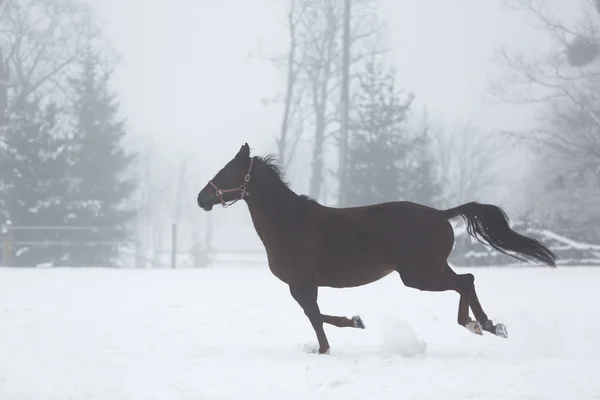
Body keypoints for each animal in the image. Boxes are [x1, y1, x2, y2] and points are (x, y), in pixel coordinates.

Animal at [197, 143, 556, 354]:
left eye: (227, 171)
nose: (201, 198)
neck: (289, 223)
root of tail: (441, 214)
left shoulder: (300, 284)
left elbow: (315, 316)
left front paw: (329, 345)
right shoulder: (304, 286)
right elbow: (318, 315)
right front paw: (355, 322)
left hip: (419, 275)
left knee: (465, 282)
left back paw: (474, 324)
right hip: (432, 268)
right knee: (467, 281)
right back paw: (491, 325)